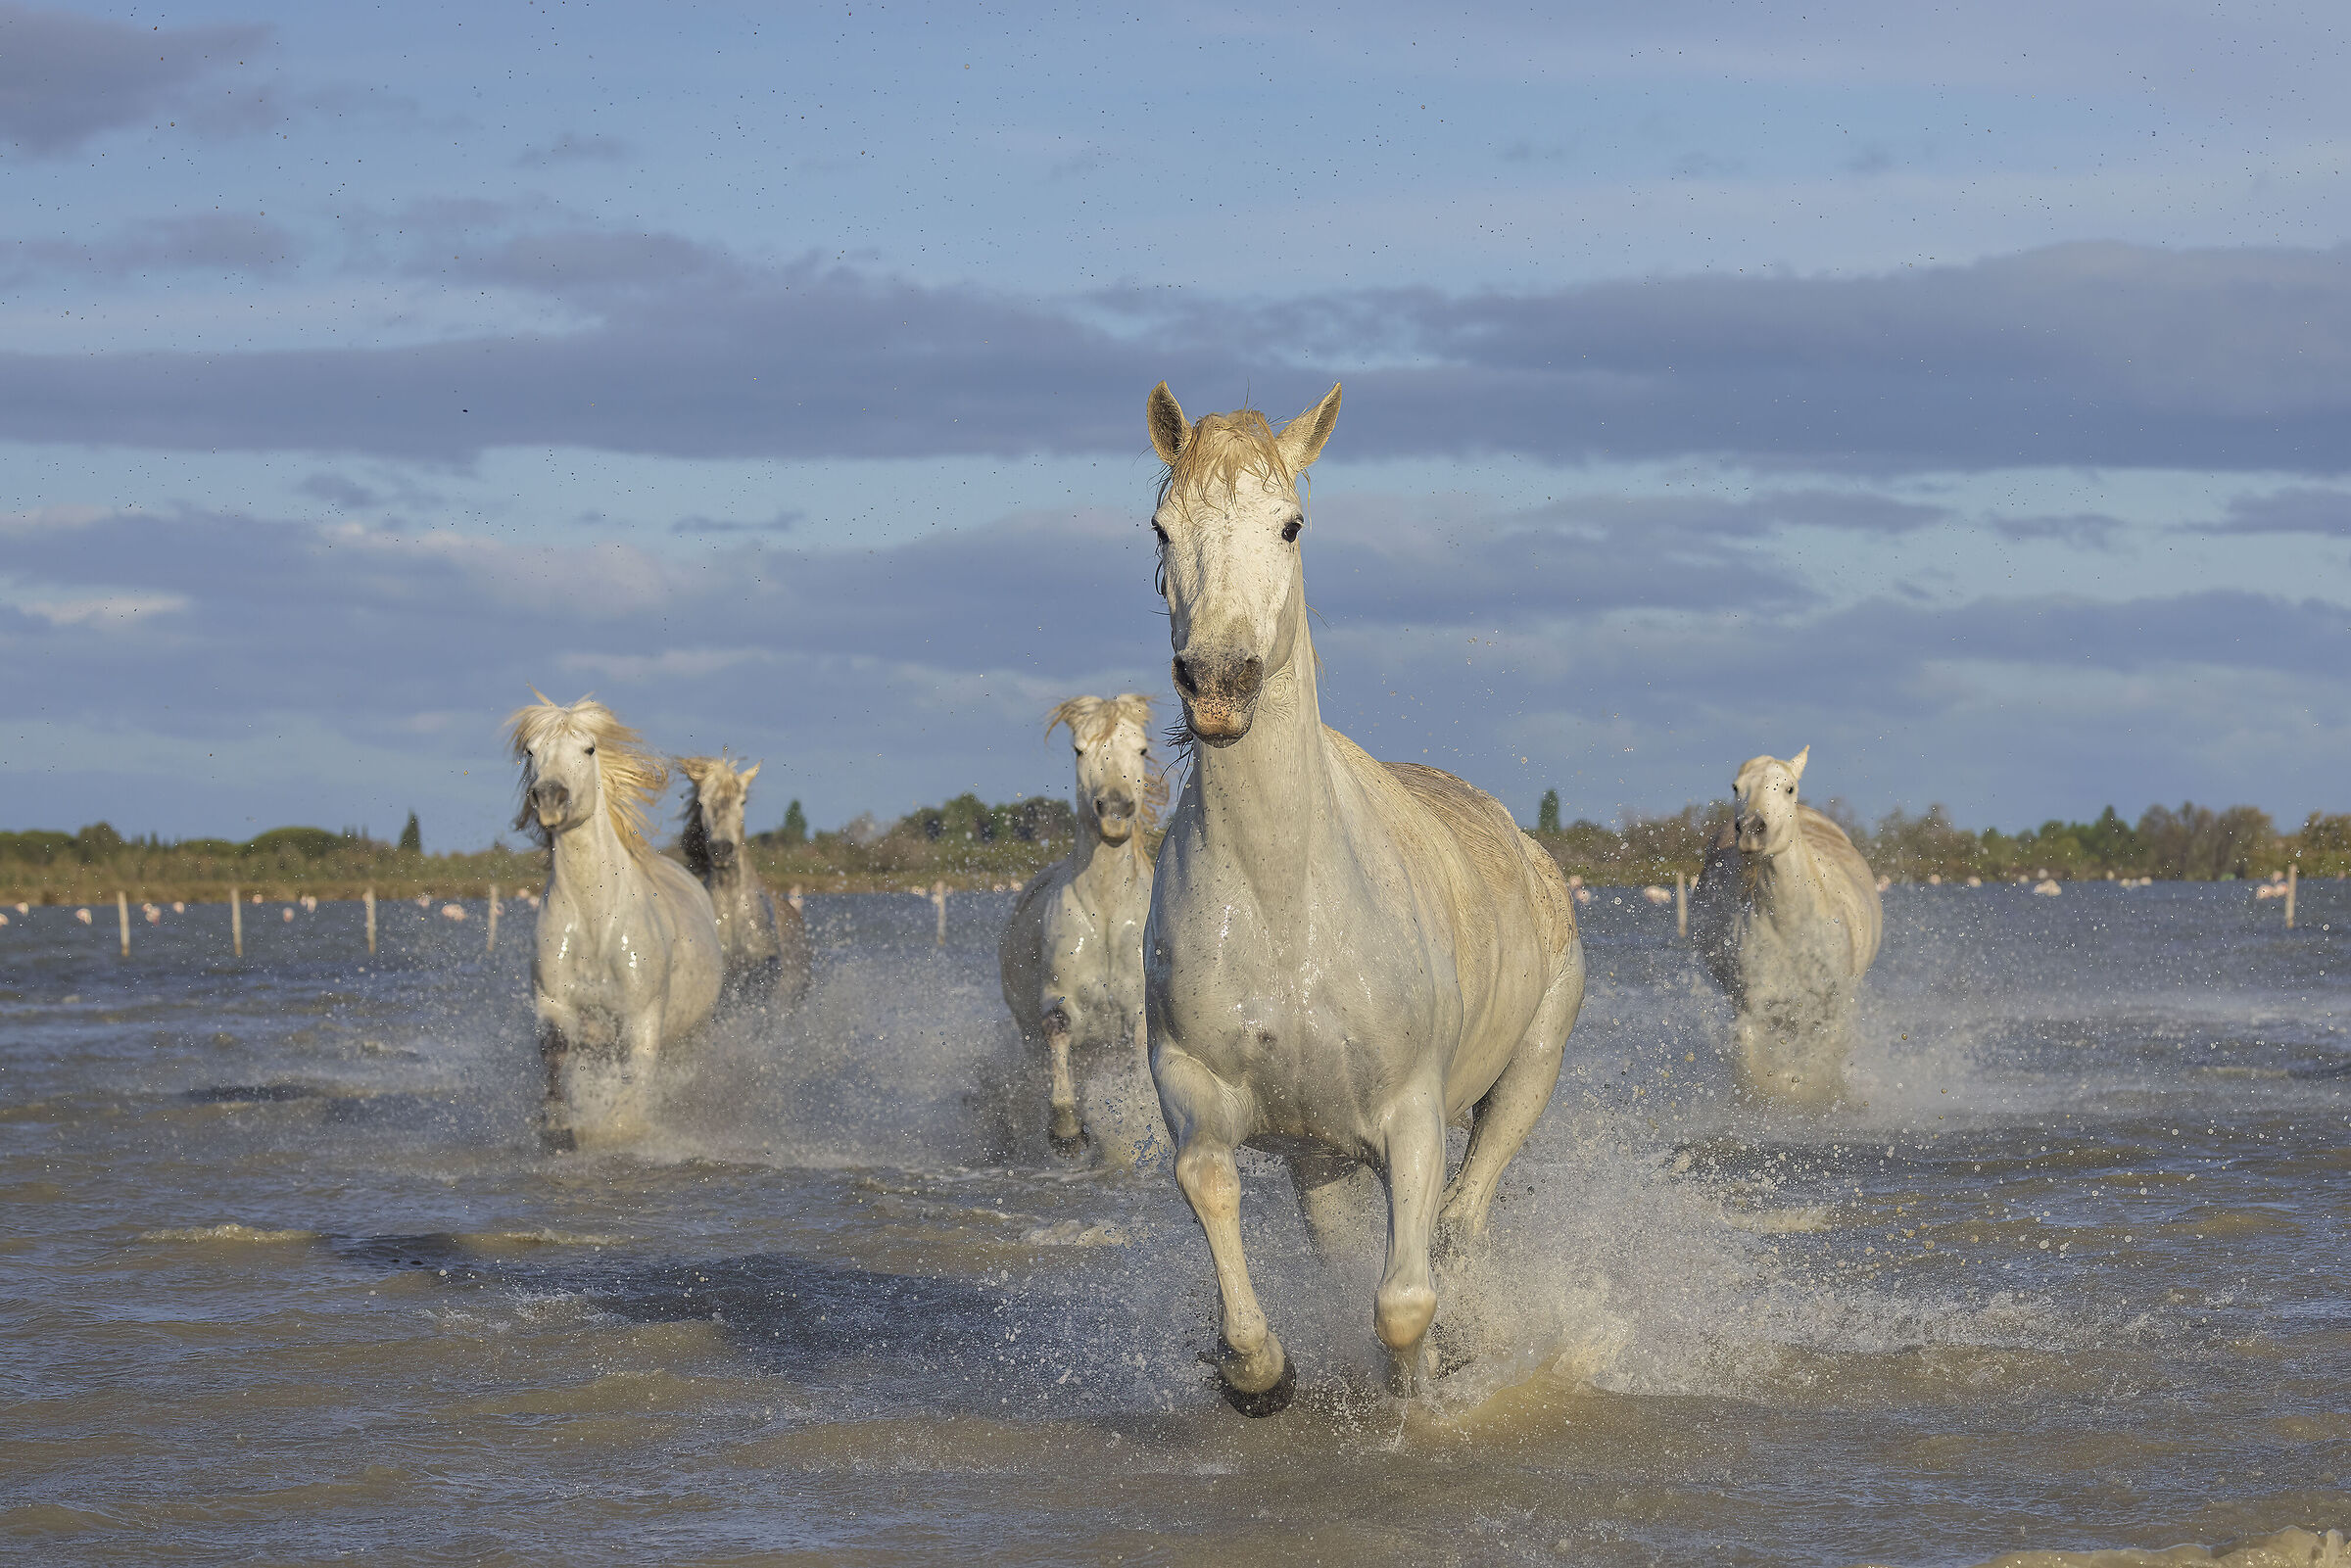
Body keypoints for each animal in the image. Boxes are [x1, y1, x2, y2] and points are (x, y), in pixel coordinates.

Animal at [507, 695, 725, 1148]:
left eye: (589, 748)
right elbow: (555, 1049)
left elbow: (636, 1076)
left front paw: (622, 1127)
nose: (550, 797)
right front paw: (557, 1124)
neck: (595, 925)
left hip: (693, 1031)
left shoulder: (642, 1016)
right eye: (531, 751)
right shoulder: (554, 1002)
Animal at [997, 694, 1164, 1159]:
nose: (1115, 811)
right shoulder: (1059, 996)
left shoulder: (1137, 1008)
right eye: (1079, 750)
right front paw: (1067, 1130)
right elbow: (1058, 1032)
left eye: (1141, 748)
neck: (1105, 914)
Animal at [1139, 382, 1587, 1413]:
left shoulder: (1411, 1117)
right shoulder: (1192, 1081)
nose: (1218, 682)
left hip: (1529, 1073)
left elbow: (1405, 1299)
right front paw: (1256, 1372)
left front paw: (1420, 1386)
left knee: (1464, 1217)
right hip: (1319, 1160)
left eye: (1291, 524)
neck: (1286, 907)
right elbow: (1209, 1179)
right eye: (1162, 528)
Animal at [1687, 747, 1882, 1106]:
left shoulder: (1830, 1010)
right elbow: (1755, 1073)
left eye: (1789, 788)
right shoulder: (1751, 1010)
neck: (1792, 929)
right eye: (1736, 787)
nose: (1751, 829)